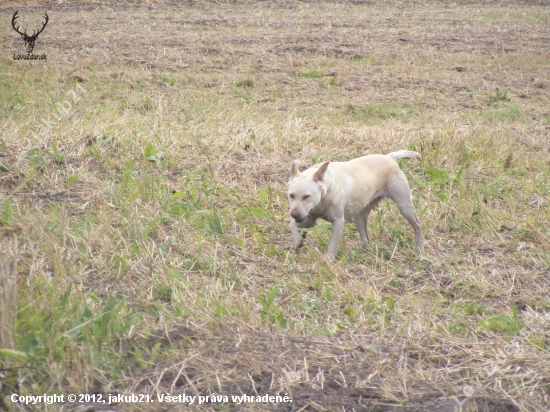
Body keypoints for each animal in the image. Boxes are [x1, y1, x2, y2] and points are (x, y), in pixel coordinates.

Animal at [288, 151, 426, 260]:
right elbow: (292, 224)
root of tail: (389, 157)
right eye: (291, 195)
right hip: (359, 217)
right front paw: (298, 240)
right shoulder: (310, 220)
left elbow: (332, 245)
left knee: (417, 225)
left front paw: (328, 260)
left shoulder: (338, 222)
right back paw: (357, 251)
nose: (294, 214)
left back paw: (419, 246)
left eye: (307, 196)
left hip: (405, 207)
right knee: (365, 238)